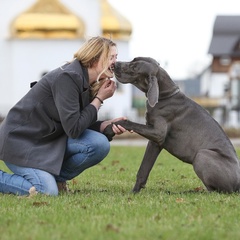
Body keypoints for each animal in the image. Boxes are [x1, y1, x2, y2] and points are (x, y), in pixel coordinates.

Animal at [103, 57, 240, 194]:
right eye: (133, 60)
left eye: (134, 67)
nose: (115, 64)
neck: (165, 96)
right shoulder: (155, 143)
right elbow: (143, 169)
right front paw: (135, 192)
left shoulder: (158, 133)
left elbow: (128, 122)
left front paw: (109, 128)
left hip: (202, 155)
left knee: (217, 191)